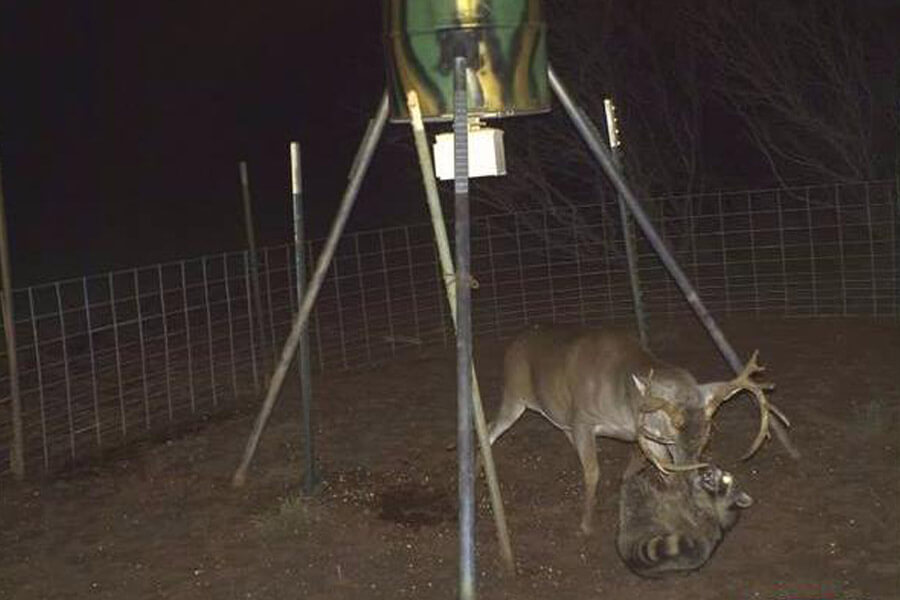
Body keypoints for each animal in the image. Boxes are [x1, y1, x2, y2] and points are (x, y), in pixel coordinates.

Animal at [483, 323, 789, 535]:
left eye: (707, 436)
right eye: (674, 432)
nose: (693, 478)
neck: (624, 405)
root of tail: (513, 344)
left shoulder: (642, 435)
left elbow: (644, 470)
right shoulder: (583, 419)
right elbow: (593, 472)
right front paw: (586, 524)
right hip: (514, 396)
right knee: (489, 429)